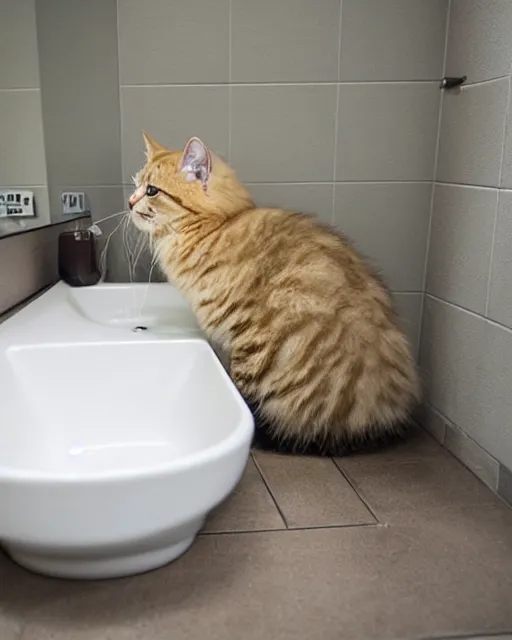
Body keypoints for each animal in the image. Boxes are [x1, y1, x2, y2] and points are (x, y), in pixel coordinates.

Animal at [128, 134, 420, 456]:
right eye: (135, 184)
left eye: (151, 190)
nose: (129, 202)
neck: (214, 229)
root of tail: (383, 418)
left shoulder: (245, 337)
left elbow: (241, 392)